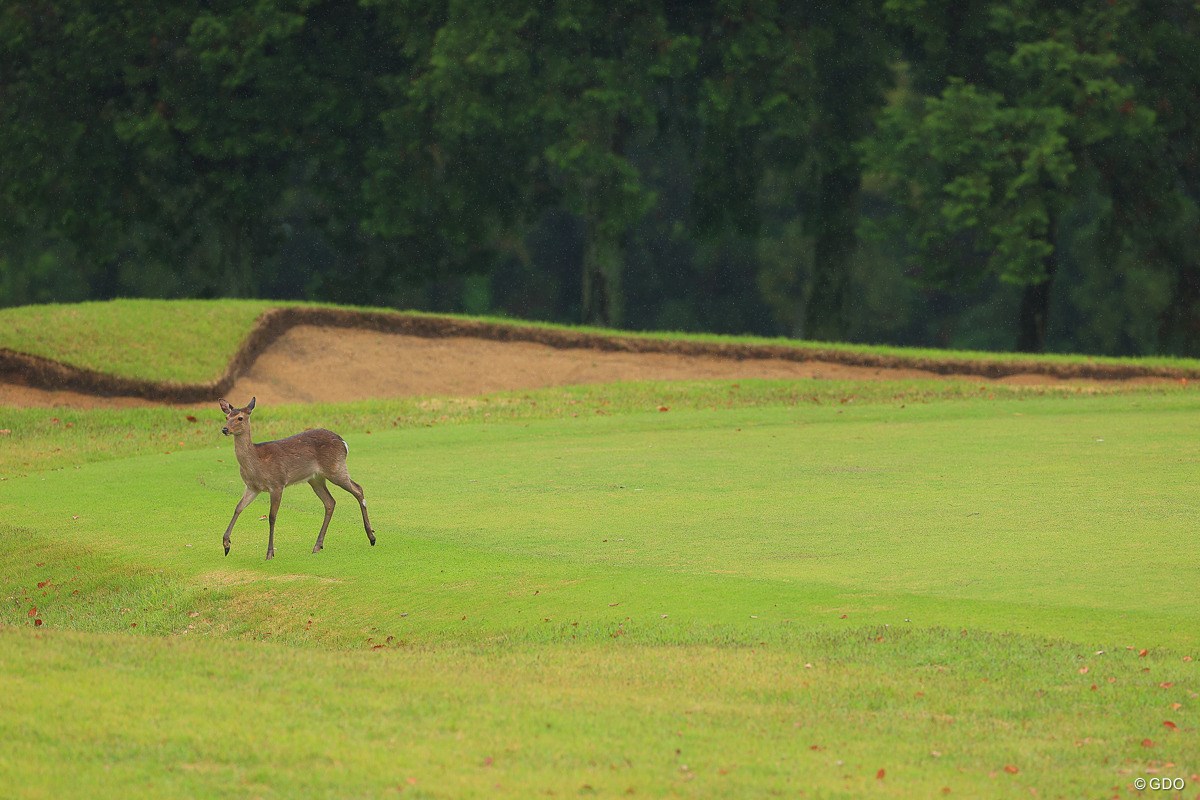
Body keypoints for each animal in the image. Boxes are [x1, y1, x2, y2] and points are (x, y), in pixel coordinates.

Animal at [218, 397, 375, 559]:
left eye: (240, 418)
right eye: (226, 417)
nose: (225, 429)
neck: (256, 463)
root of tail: (344, 443)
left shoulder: (277, 483)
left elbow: (272, 517)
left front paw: (270, 553)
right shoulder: (252, 487)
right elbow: (238, 508)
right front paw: (226, 544)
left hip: (336, 468)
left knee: (358, 489)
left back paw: (371, 537)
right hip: (315, 478)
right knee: (330, 501)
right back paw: (317, 545)